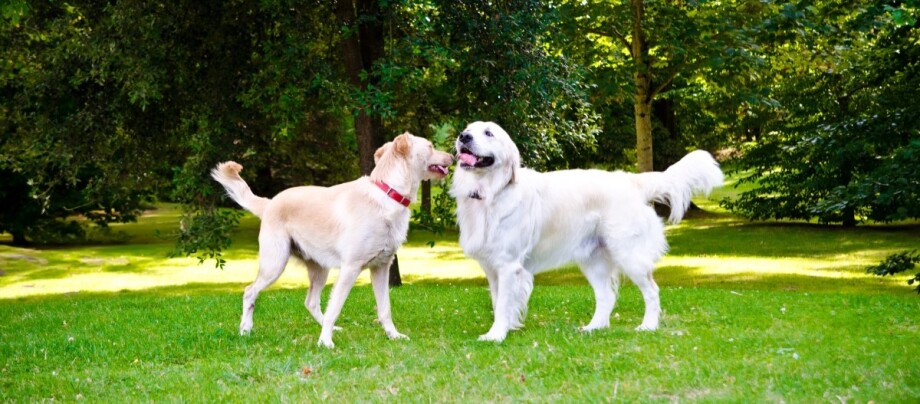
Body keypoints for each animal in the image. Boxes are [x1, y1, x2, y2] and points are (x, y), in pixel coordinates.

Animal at [209, 133, 452, 348]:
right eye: (430, 146)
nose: (452, 156)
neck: (386, 195)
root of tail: (269, 203)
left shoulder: (382, 267)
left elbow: (384, 309)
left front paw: (393, 336)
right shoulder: (350, 268)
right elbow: (335, 307)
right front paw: (325, 342)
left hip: (319, 270)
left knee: (311, 302)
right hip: (274, 264)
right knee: (250, 292)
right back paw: (245, 329)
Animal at [450, 121, 724, 342]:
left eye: (488, 133)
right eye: (468, 129)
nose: (463, 137)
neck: (490, 192)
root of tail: (631, 180)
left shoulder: (508, 265)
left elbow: (503, 304)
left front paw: (496, 335)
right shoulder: (492, 268)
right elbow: (499, 303)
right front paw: (504, 328)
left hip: (629, 255)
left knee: (652, 291)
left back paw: (648, 326)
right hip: (593, 260)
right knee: (606, 296)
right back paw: (594, 327)